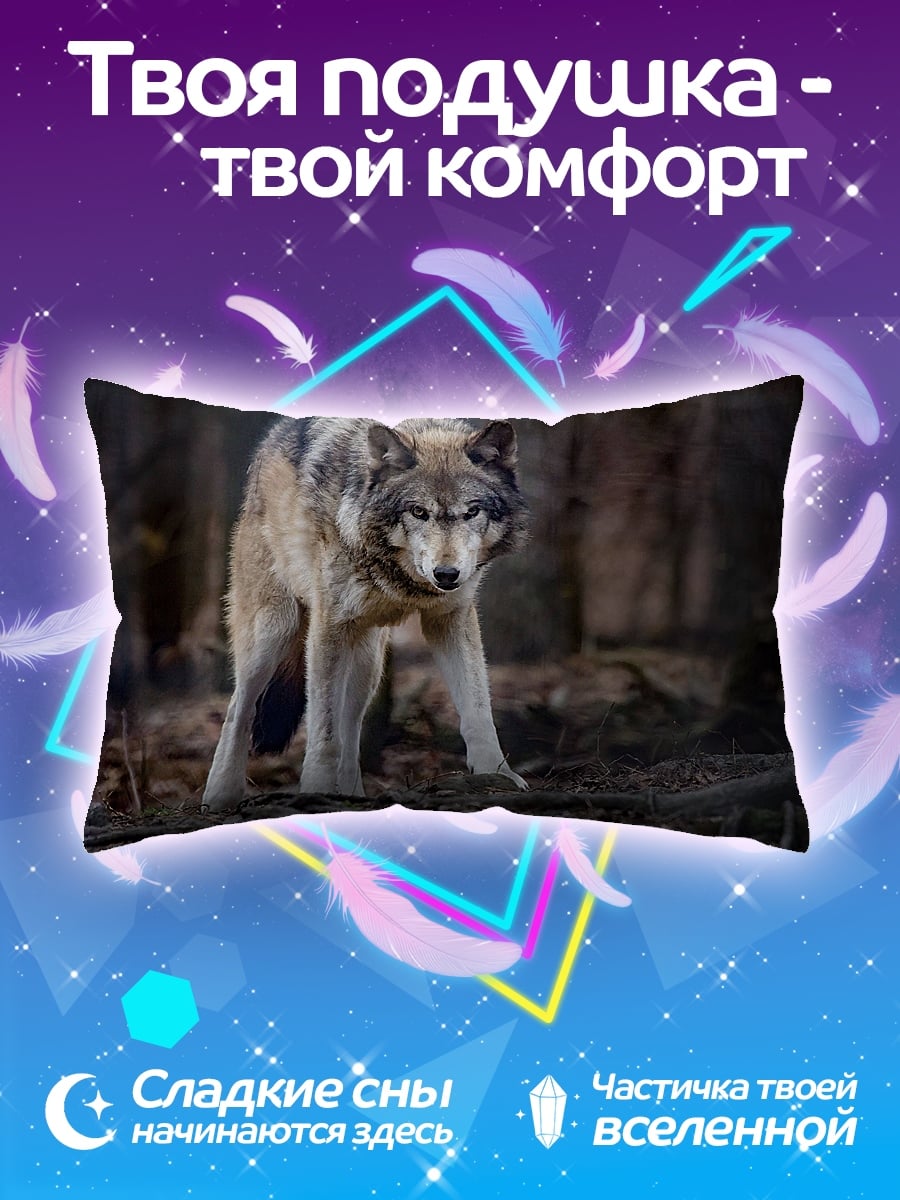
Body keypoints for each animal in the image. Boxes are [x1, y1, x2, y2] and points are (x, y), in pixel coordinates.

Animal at [202, 415, 530, 810]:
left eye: (471, 512)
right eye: (418, 512)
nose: (447, 574)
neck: (398, 575)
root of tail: (274, 434)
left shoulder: (451, 618)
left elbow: (478, 712)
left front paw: (497, 775)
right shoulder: (328, 627)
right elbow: (323, 731)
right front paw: (315, 787)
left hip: (368, 662)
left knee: (351, 726)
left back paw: (351, 795)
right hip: (274, 633)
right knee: (239, 708)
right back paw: (219, 795)